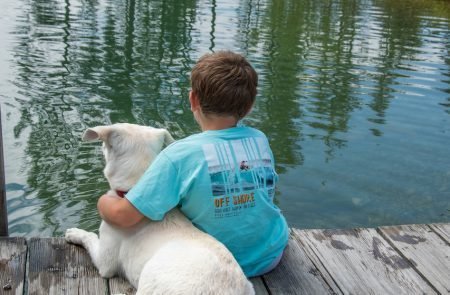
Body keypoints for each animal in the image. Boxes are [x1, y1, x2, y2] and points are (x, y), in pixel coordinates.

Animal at [64, 124, 253, 295]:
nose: (100, 149)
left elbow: (89, 236)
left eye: (105, 145)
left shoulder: (105, 261)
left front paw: (74, 233)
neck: (130, 192)